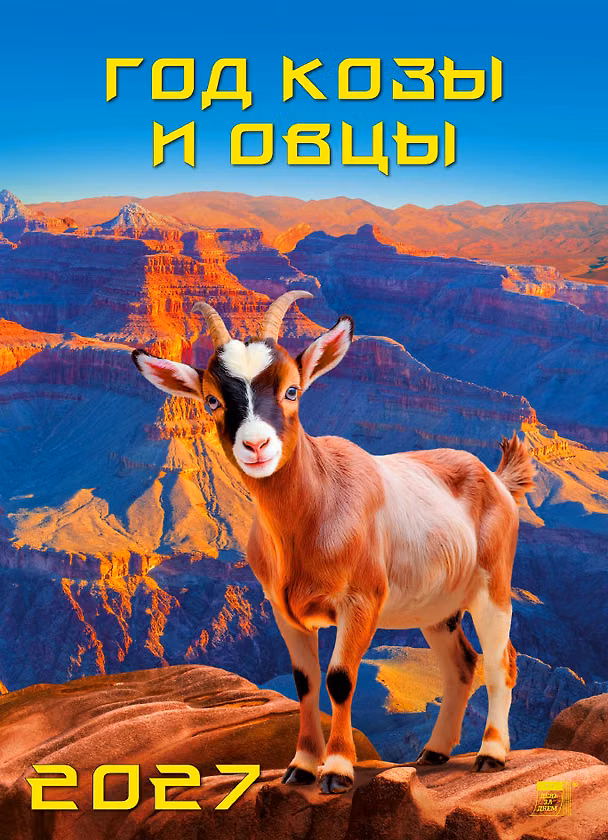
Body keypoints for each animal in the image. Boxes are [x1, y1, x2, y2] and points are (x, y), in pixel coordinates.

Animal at [132, 290, 535, 795]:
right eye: (210, 400)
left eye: (292, 390)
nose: (257, 446)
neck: (317, 505)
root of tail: (498, 480)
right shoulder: (284, 610)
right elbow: (305, 682)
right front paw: (302, 767)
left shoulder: (361, 601)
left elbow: (340, 678)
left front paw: (337, 771)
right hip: (438, 609)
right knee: (461, 664)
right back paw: (435, 752)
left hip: (491, 587)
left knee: (502, 661)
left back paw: (491, 755)